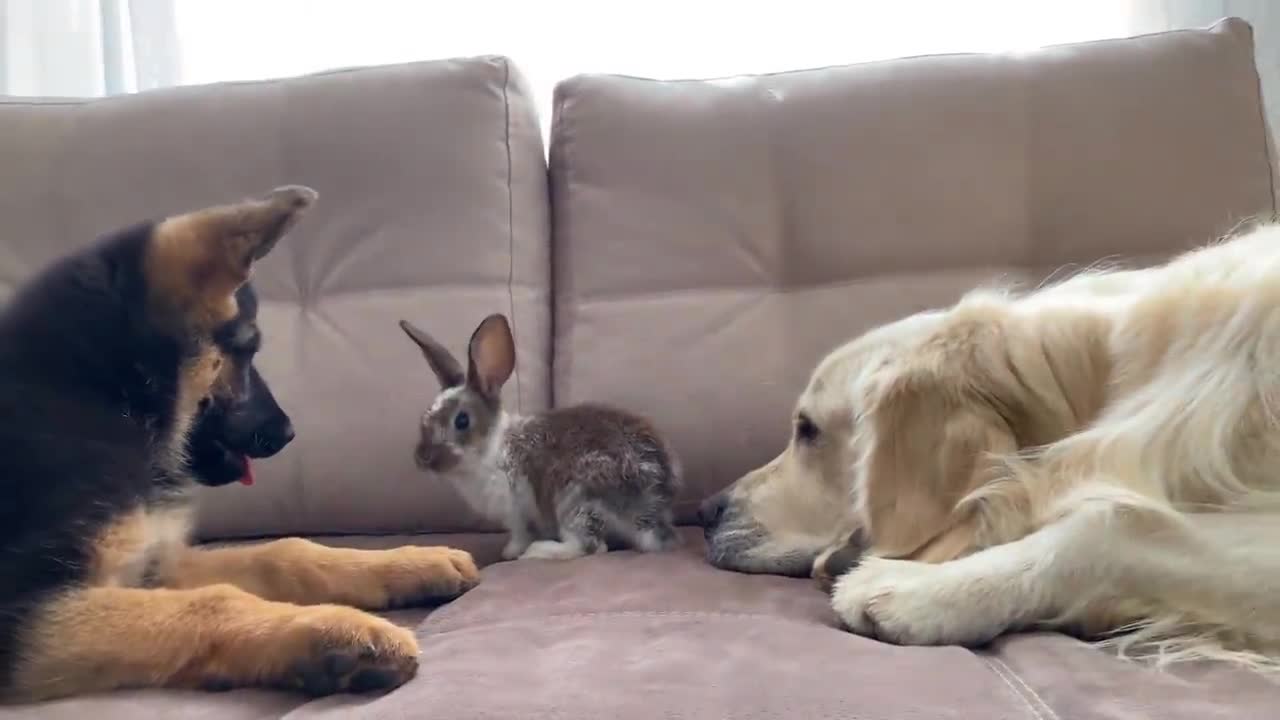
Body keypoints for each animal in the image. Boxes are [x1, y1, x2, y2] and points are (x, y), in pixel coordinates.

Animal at [0, 185, 481, 702]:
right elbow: (215, 600)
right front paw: (336, 633)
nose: (289, 433)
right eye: (248, 350)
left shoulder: (156, 565)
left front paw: (412, 562)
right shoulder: (23, 611)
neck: (104, 390)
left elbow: (282, 553)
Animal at [399, 311, 686, 558]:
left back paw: (537, 552)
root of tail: (650, 513)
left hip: (574, 498)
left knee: (590, 546)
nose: (422, 459)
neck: (492, 449)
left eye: (462, 420)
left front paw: (511, 552)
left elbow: (520, 534)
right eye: (425, 417)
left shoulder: (516, 511)